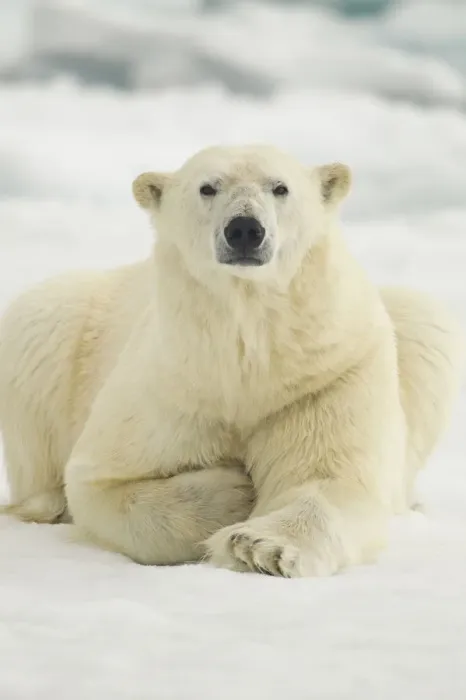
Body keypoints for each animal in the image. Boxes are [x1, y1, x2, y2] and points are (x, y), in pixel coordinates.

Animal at [0, 144, 464, 577]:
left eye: (280, 187)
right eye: (208, 187)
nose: (244, 229)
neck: (247, 355)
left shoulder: (327, 375)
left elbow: (333, 477)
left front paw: (259, 547)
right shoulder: (171, 384)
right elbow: (102, 482)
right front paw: (234, 491)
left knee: (426, 322)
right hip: (56, 322)